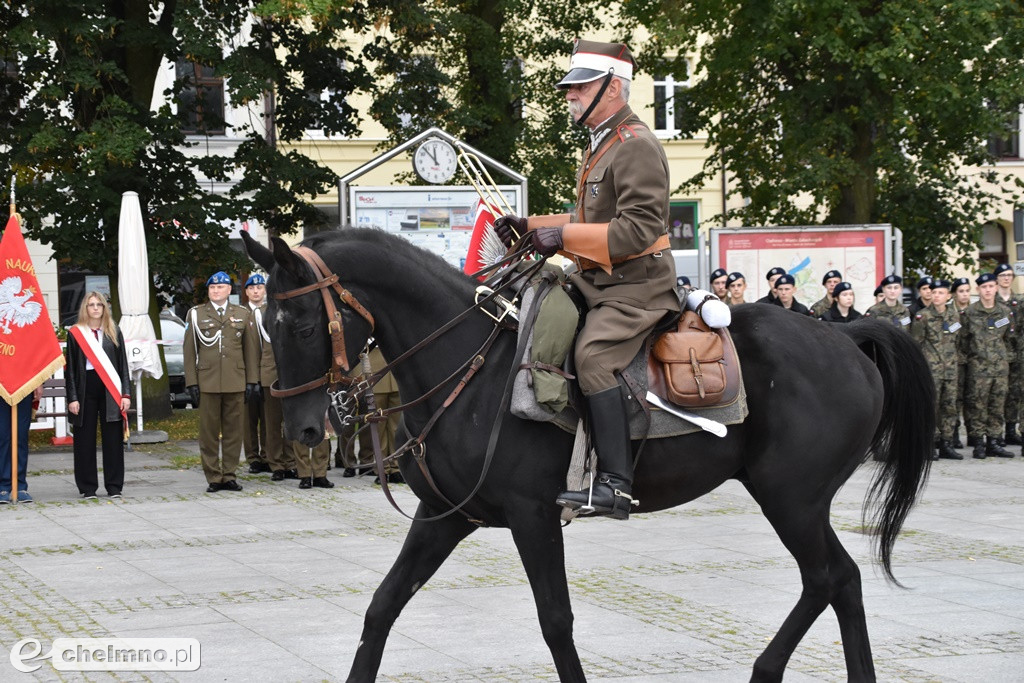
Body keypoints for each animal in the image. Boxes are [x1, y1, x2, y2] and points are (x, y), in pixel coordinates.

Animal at [241, 231, 937, 683]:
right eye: (269, 325)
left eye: (303, 323)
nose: (305, 428)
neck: (469, 369)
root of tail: (845, 334)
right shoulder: (445, 516)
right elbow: (383, 605)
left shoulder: (533, 516)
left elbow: (556, 621)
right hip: (797, 502)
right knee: (837, 580)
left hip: (791, 498)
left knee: (829, 577)